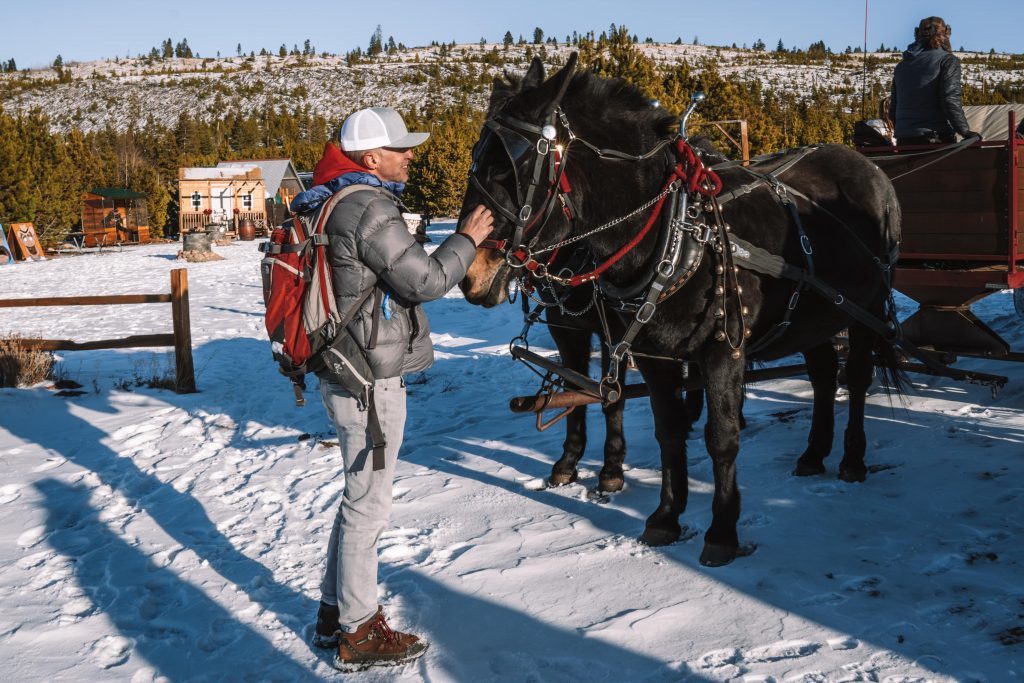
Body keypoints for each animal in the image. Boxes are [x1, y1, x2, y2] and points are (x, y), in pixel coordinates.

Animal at [460, 53, 901, 569]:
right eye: (477, 159)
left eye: (512, 167)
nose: (471, 275)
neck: (676, 232)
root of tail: (869, 166)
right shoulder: (644, 351)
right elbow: (665, 430)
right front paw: (665, 516)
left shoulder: (721, 350)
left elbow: (719, 436)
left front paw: (721, 530)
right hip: (813, 315)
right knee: (823, 375)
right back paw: (814, 454)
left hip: (866, 308)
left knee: (856, 377)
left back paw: (851, 459)